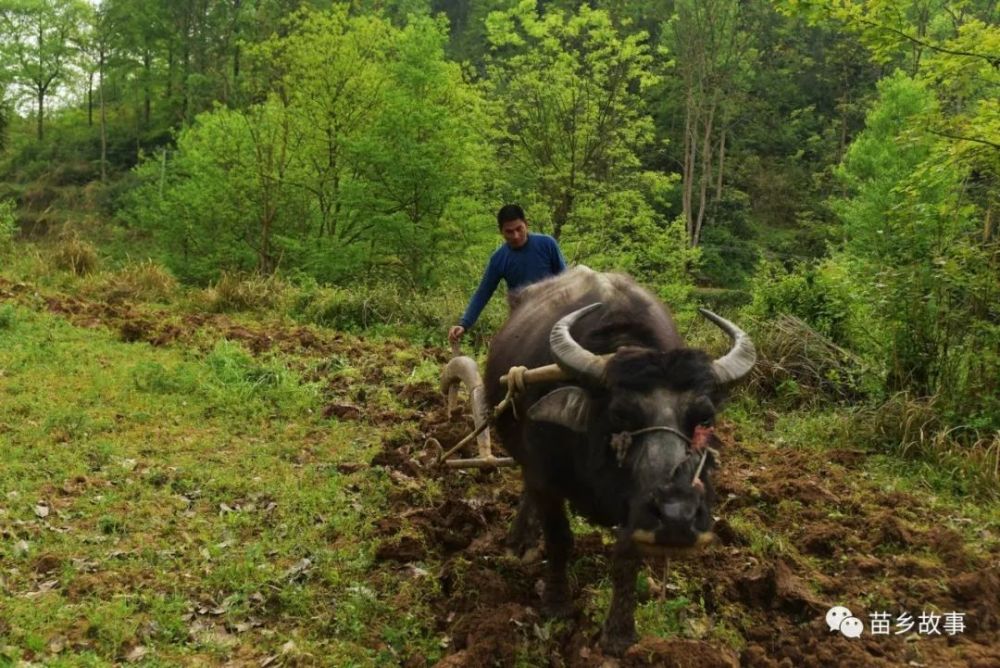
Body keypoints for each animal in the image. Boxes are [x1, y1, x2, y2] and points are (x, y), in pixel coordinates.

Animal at [442, 266, 752, 652]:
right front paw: (556, 603)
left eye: (705, 418)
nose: (677, 516)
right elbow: (559, 537)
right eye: (620, 415)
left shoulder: (635, 507)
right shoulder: (546, 477)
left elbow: (627, 557)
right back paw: (520, 541)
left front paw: (619, 633)